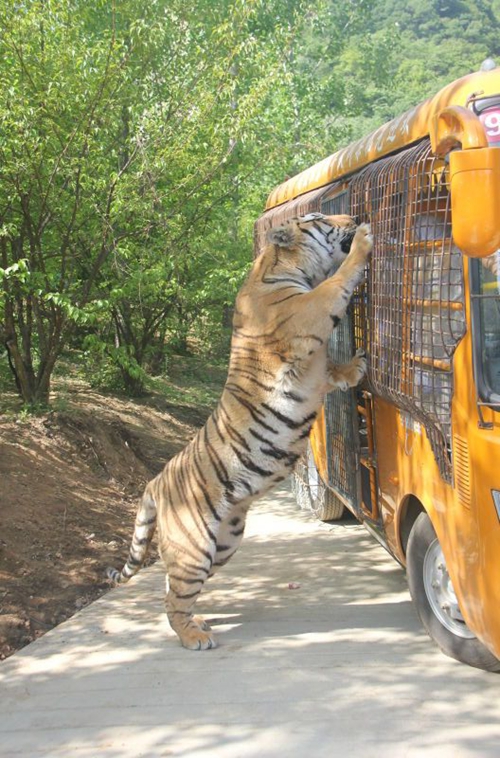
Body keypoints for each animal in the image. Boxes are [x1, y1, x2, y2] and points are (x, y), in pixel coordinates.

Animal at [106, 215, 372, 652]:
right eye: (319, 219)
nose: (352, 218)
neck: (284, 268)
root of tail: (155, 481)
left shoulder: (317, 370)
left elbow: (335, 370)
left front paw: (357, 365)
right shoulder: (307, 314)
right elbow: (337, 284)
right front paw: (364, 243)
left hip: (225, 542)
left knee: (170, 587)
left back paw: (198, 621)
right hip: (195, 546)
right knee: (173, 596)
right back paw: (195, 636)